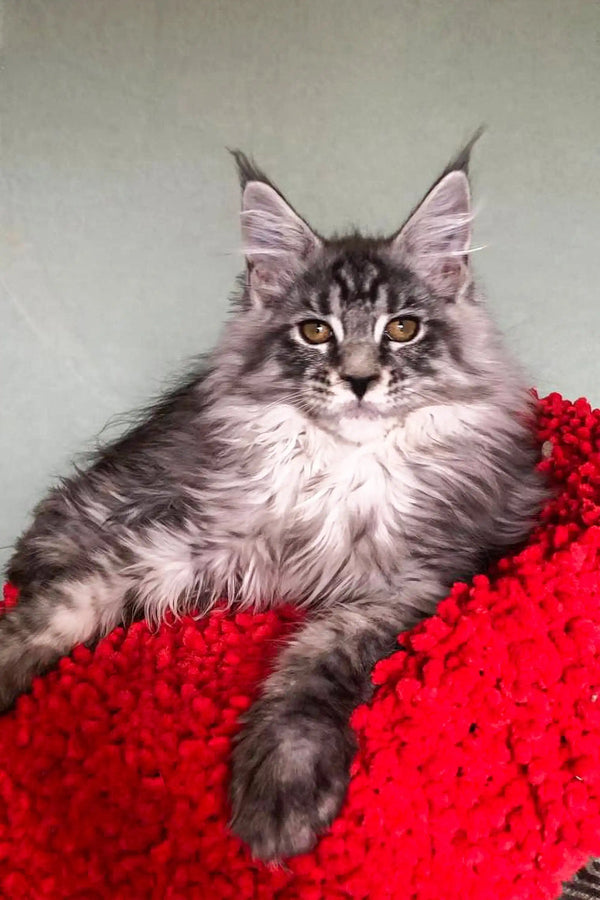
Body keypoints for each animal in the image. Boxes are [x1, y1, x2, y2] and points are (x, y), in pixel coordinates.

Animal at [2, 137, 548, 860]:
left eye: (402, 328)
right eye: (315, 332)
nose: (359, 380)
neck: (343, 474)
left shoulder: (417, 584)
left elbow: (315, 660)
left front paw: (283, 784)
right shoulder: (196, 535)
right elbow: (67, 603)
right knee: (64, 523)